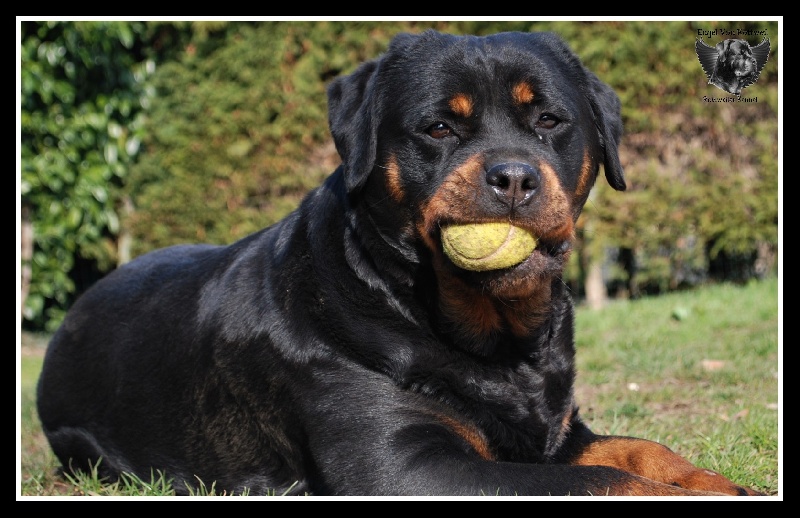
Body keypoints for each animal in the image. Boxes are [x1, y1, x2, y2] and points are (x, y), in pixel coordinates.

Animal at [37, 29, 764, 500]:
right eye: (439, 128)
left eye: (549, 121)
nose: (513, 178)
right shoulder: (404, 468)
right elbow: (595, 480)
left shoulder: (557, 431)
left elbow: (640, 449)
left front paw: (721, 483)